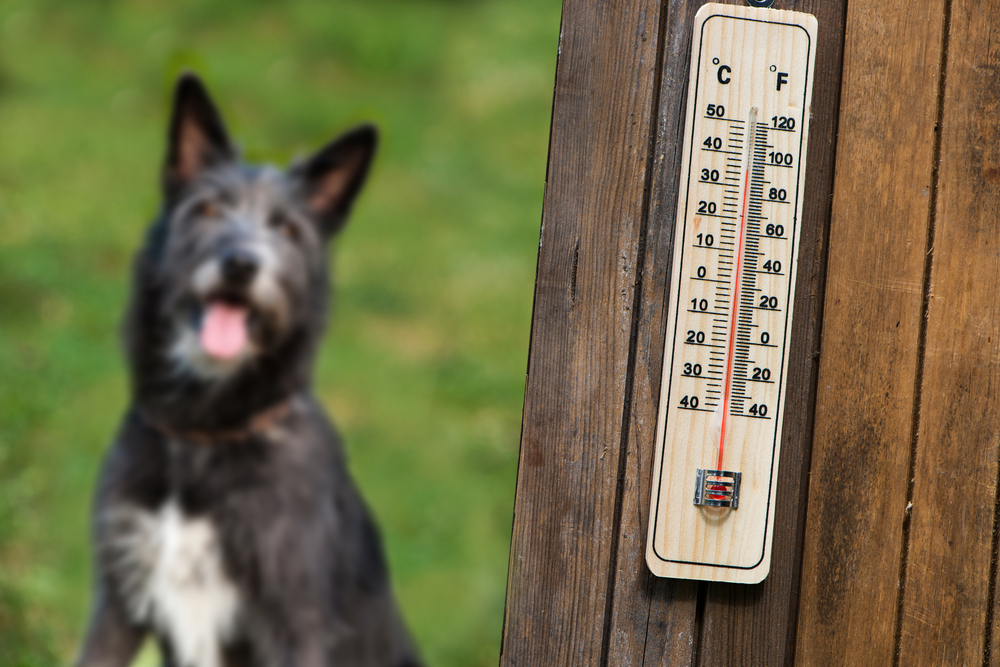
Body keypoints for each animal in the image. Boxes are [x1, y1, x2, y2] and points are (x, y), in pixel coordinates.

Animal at [73, 74, 422, 667]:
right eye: (209, 210)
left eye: (286, 228)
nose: (241, 264)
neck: (203, 435)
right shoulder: (119, 599)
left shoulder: (295, 623)